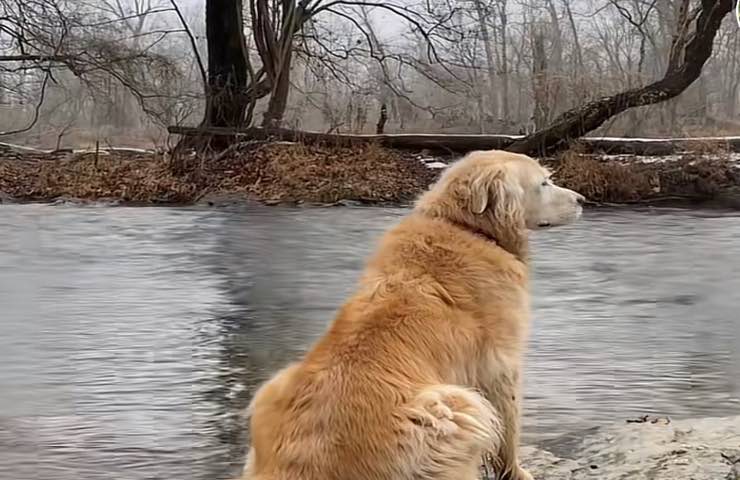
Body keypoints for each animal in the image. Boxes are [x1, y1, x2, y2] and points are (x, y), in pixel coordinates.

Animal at [243, 150, 584, 480]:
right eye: (543, 183)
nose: (582, 200)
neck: (465, 227)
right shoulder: (500, 365)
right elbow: (509, 430)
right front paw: (517, 471)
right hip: (453, 406)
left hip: (272, 387)